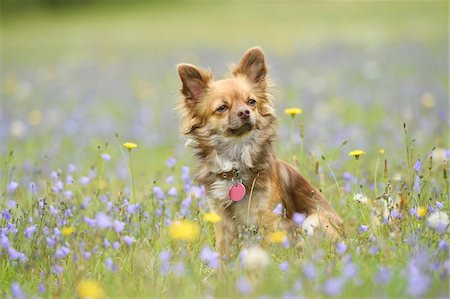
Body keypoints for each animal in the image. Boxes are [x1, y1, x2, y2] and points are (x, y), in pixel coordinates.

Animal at [178, 47, 342, 258]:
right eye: (222, 108)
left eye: (251, 101)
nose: (245, 112)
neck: (236, 162)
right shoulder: (221, 221)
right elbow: (223, 253)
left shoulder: (269, 217)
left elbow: (264, 248)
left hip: (313, 220)